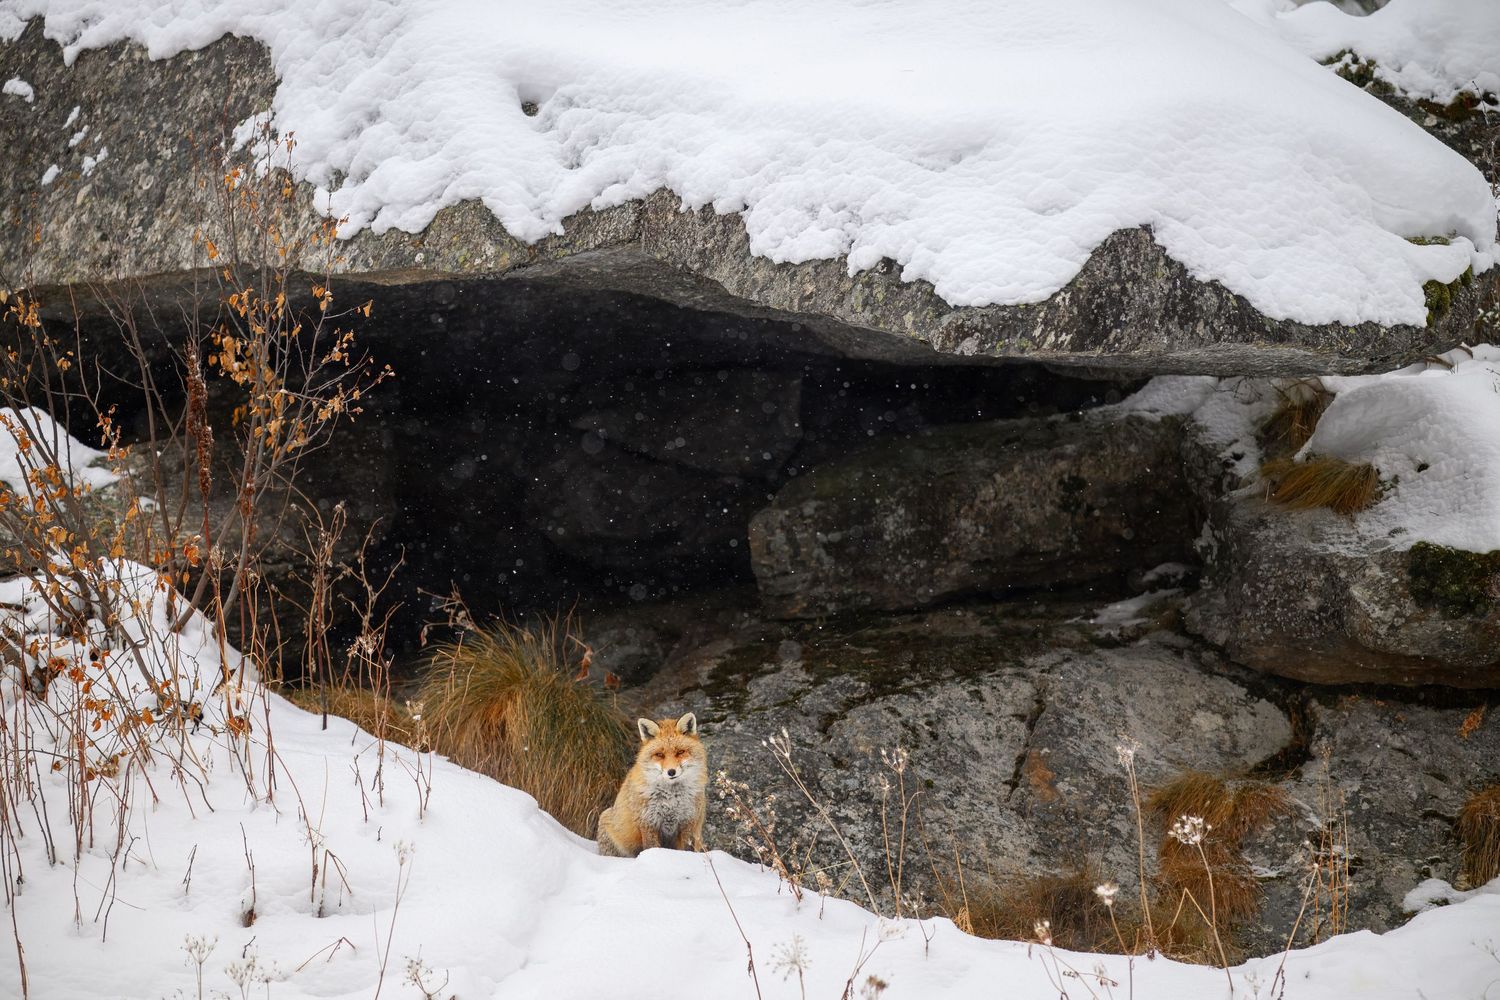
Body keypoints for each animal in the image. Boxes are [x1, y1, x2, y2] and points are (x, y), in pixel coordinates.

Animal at [596, 712, 707, 857]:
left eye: (680, 752)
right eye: (659, 754)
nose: (671, 772)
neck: (671, 798)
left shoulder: (688, 822)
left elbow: (687, 849)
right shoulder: (648, 822)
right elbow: (651, 848)